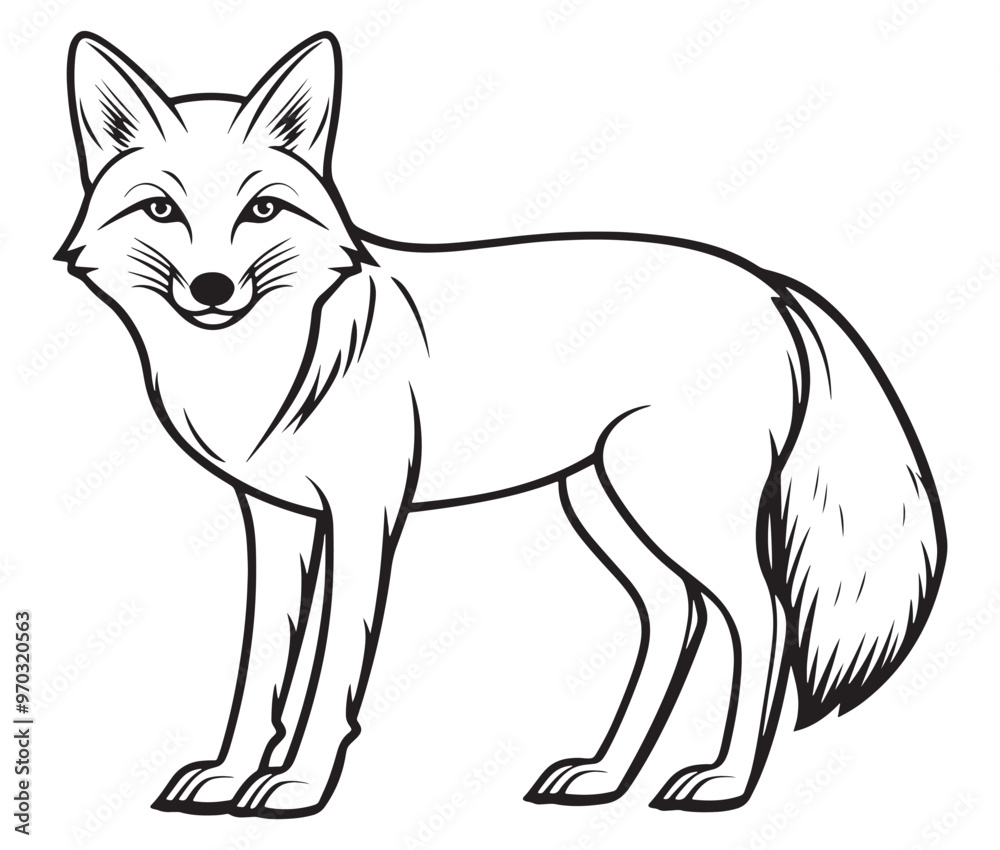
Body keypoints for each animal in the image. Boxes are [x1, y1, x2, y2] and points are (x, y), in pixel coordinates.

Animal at [57, 31, 946, 819]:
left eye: (263, 209)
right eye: (161, 210)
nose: (211, 288)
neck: (261, 365)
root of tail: (768, 281)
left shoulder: (365, 517)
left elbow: (333, 669)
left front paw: (297, 787)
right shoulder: (277, 522)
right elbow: (259, 672)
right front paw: (228, 776)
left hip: (674, 512)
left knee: (763, 617)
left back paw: (724, 782)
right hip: (603, 506)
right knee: (675, 617)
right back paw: (605, 774)